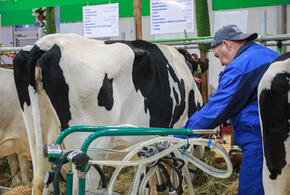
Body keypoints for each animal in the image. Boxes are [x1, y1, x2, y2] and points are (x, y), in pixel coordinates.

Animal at [13, 33, 203, 193]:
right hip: (89, 149)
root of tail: (48, 43)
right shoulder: (177, 131)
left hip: (38, 136)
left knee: (40, 180)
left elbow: (149, 172)